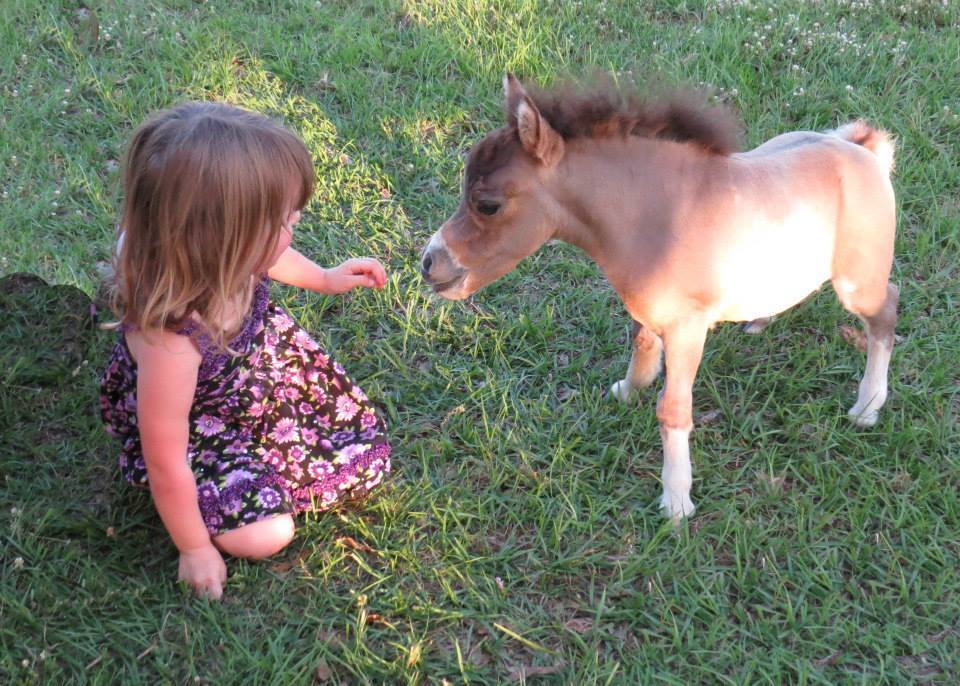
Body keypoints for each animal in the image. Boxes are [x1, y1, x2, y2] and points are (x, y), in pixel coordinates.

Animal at [422, 74, 900, 520]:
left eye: (488, 205)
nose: (429, 262)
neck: (657, 215)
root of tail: (862, 149)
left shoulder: (689, 330)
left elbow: (673, 411)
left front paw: (676, 502)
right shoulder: (646, 307)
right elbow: (641, 342)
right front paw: (627, 391)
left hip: (858, 282)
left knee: (885, 313)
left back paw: (868, 407)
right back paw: (761, 319)